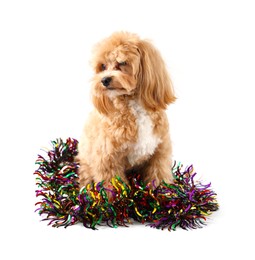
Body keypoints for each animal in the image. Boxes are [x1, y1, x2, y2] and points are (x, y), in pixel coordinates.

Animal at [75, 32, 175, 189]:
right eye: (103, 66)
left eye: (122, 63)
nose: (104, 80)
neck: (133, 105)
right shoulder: (107, 158)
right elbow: (112, 185)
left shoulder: (159, 152)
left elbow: (159, 176)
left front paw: (163, 193)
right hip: (86, 163)